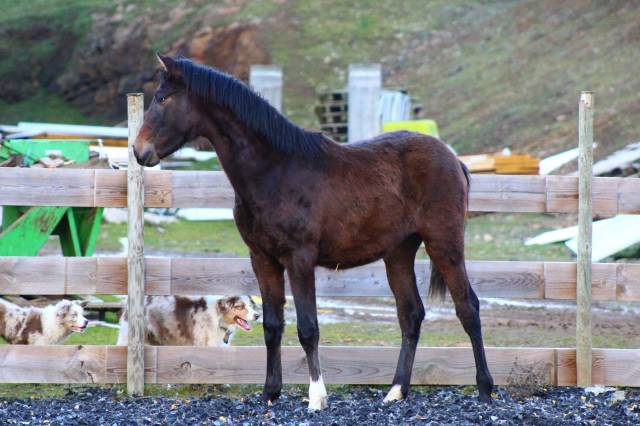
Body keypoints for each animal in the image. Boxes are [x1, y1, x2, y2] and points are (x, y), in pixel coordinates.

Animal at [134, 54, 494, 410]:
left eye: (163, 98)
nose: (139, 151)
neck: (275, 171)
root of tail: (454, 160)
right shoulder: (263, 259)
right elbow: (272, 325)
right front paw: (270, 393)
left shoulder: (299, 260)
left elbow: (308, 328)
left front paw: (317, 397)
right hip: (399, 253)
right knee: (411, 315)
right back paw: (395, 391)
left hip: (444, 244)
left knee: (468, 307)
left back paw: (485, 389)